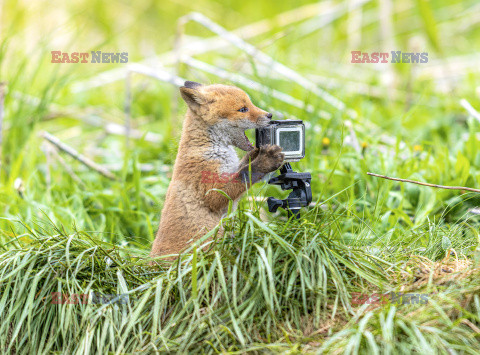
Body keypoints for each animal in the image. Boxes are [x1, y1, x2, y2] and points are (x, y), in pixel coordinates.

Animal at [149, 80, 284, 258]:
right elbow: (244, 175)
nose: (270, 115)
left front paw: (257, 153)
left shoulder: (231, 172)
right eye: (243, 109)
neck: (211, 148)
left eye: (250, 104)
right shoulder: (211, 191)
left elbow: (243, 166)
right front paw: (265, 161)